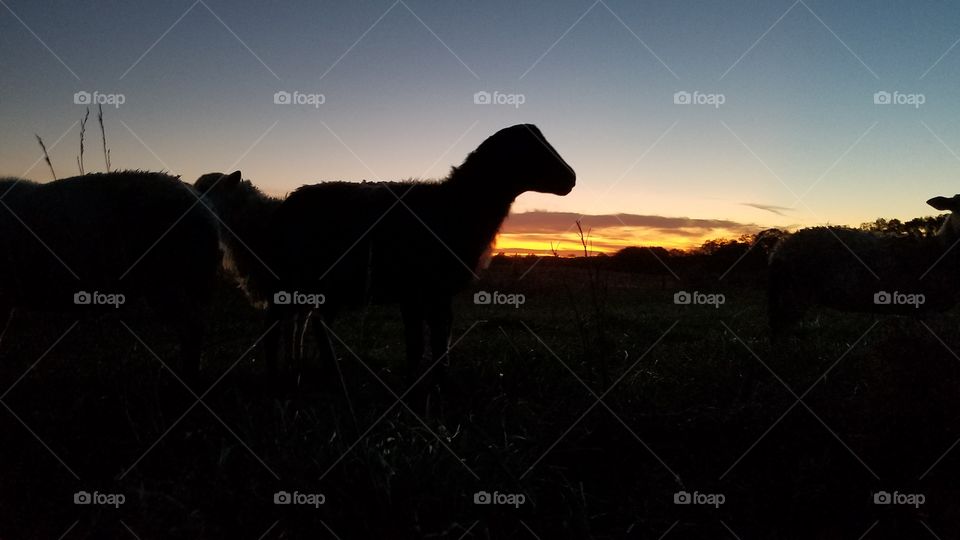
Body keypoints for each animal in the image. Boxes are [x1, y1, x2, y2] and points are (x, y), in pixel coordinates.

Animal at [196, 124, 576, 382]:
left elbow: (438, 339)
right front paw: (415, 384)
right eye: (532, 149)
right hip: (289, 279)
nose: (572, 178)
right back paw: (280, 376)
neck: (456, 202)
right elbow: (417, 342)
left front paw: (437, 380)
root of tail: (285, 204)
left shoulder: (435, 292)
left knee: (312, 325)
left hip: (324, 285)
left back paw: (324, 373)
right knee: (276, 327)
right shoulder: (414, 288)